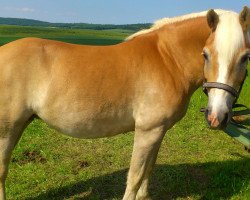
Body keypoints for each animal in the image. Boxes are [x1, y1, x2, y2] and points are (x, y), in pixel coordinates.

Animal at [0, 7, 249, 199]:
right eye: (205, 54)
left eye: (245, 57)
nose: (216, 117)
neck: (167, 60)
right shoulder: (147, 130)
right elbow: (135, 176)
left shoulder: (158, 131)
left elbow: (148, 169)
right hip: (7, 130)